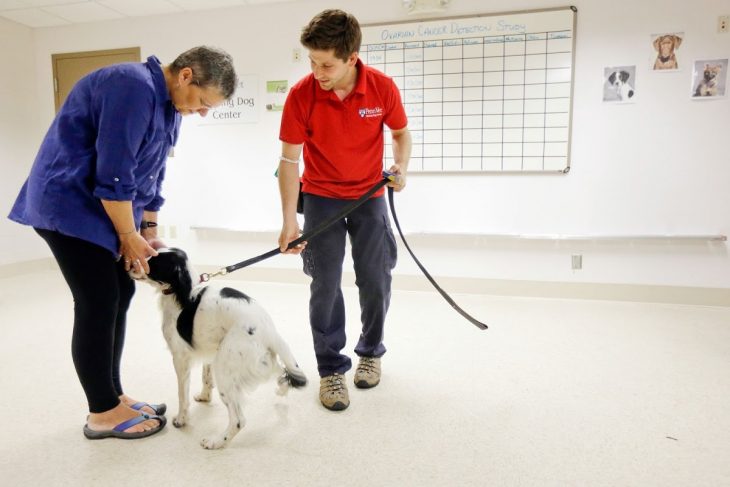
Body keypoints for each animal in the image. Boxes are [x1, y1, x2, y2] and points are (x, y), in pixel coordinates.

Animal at [131, 248, 304, 450]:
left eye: (153, 260)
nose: (129, 264)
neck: (183, 292)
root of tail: (268, 331)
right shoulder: (209, 348)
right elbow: (206, 378)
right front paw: (204, 397)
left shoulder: (180, 358)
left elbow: (182, 394)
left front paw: (181, 419)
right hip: (258, 362)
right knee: (283, 374)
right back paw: (281, 390)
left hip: (225, 369)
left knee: (239, 420)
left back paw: (215, 442)